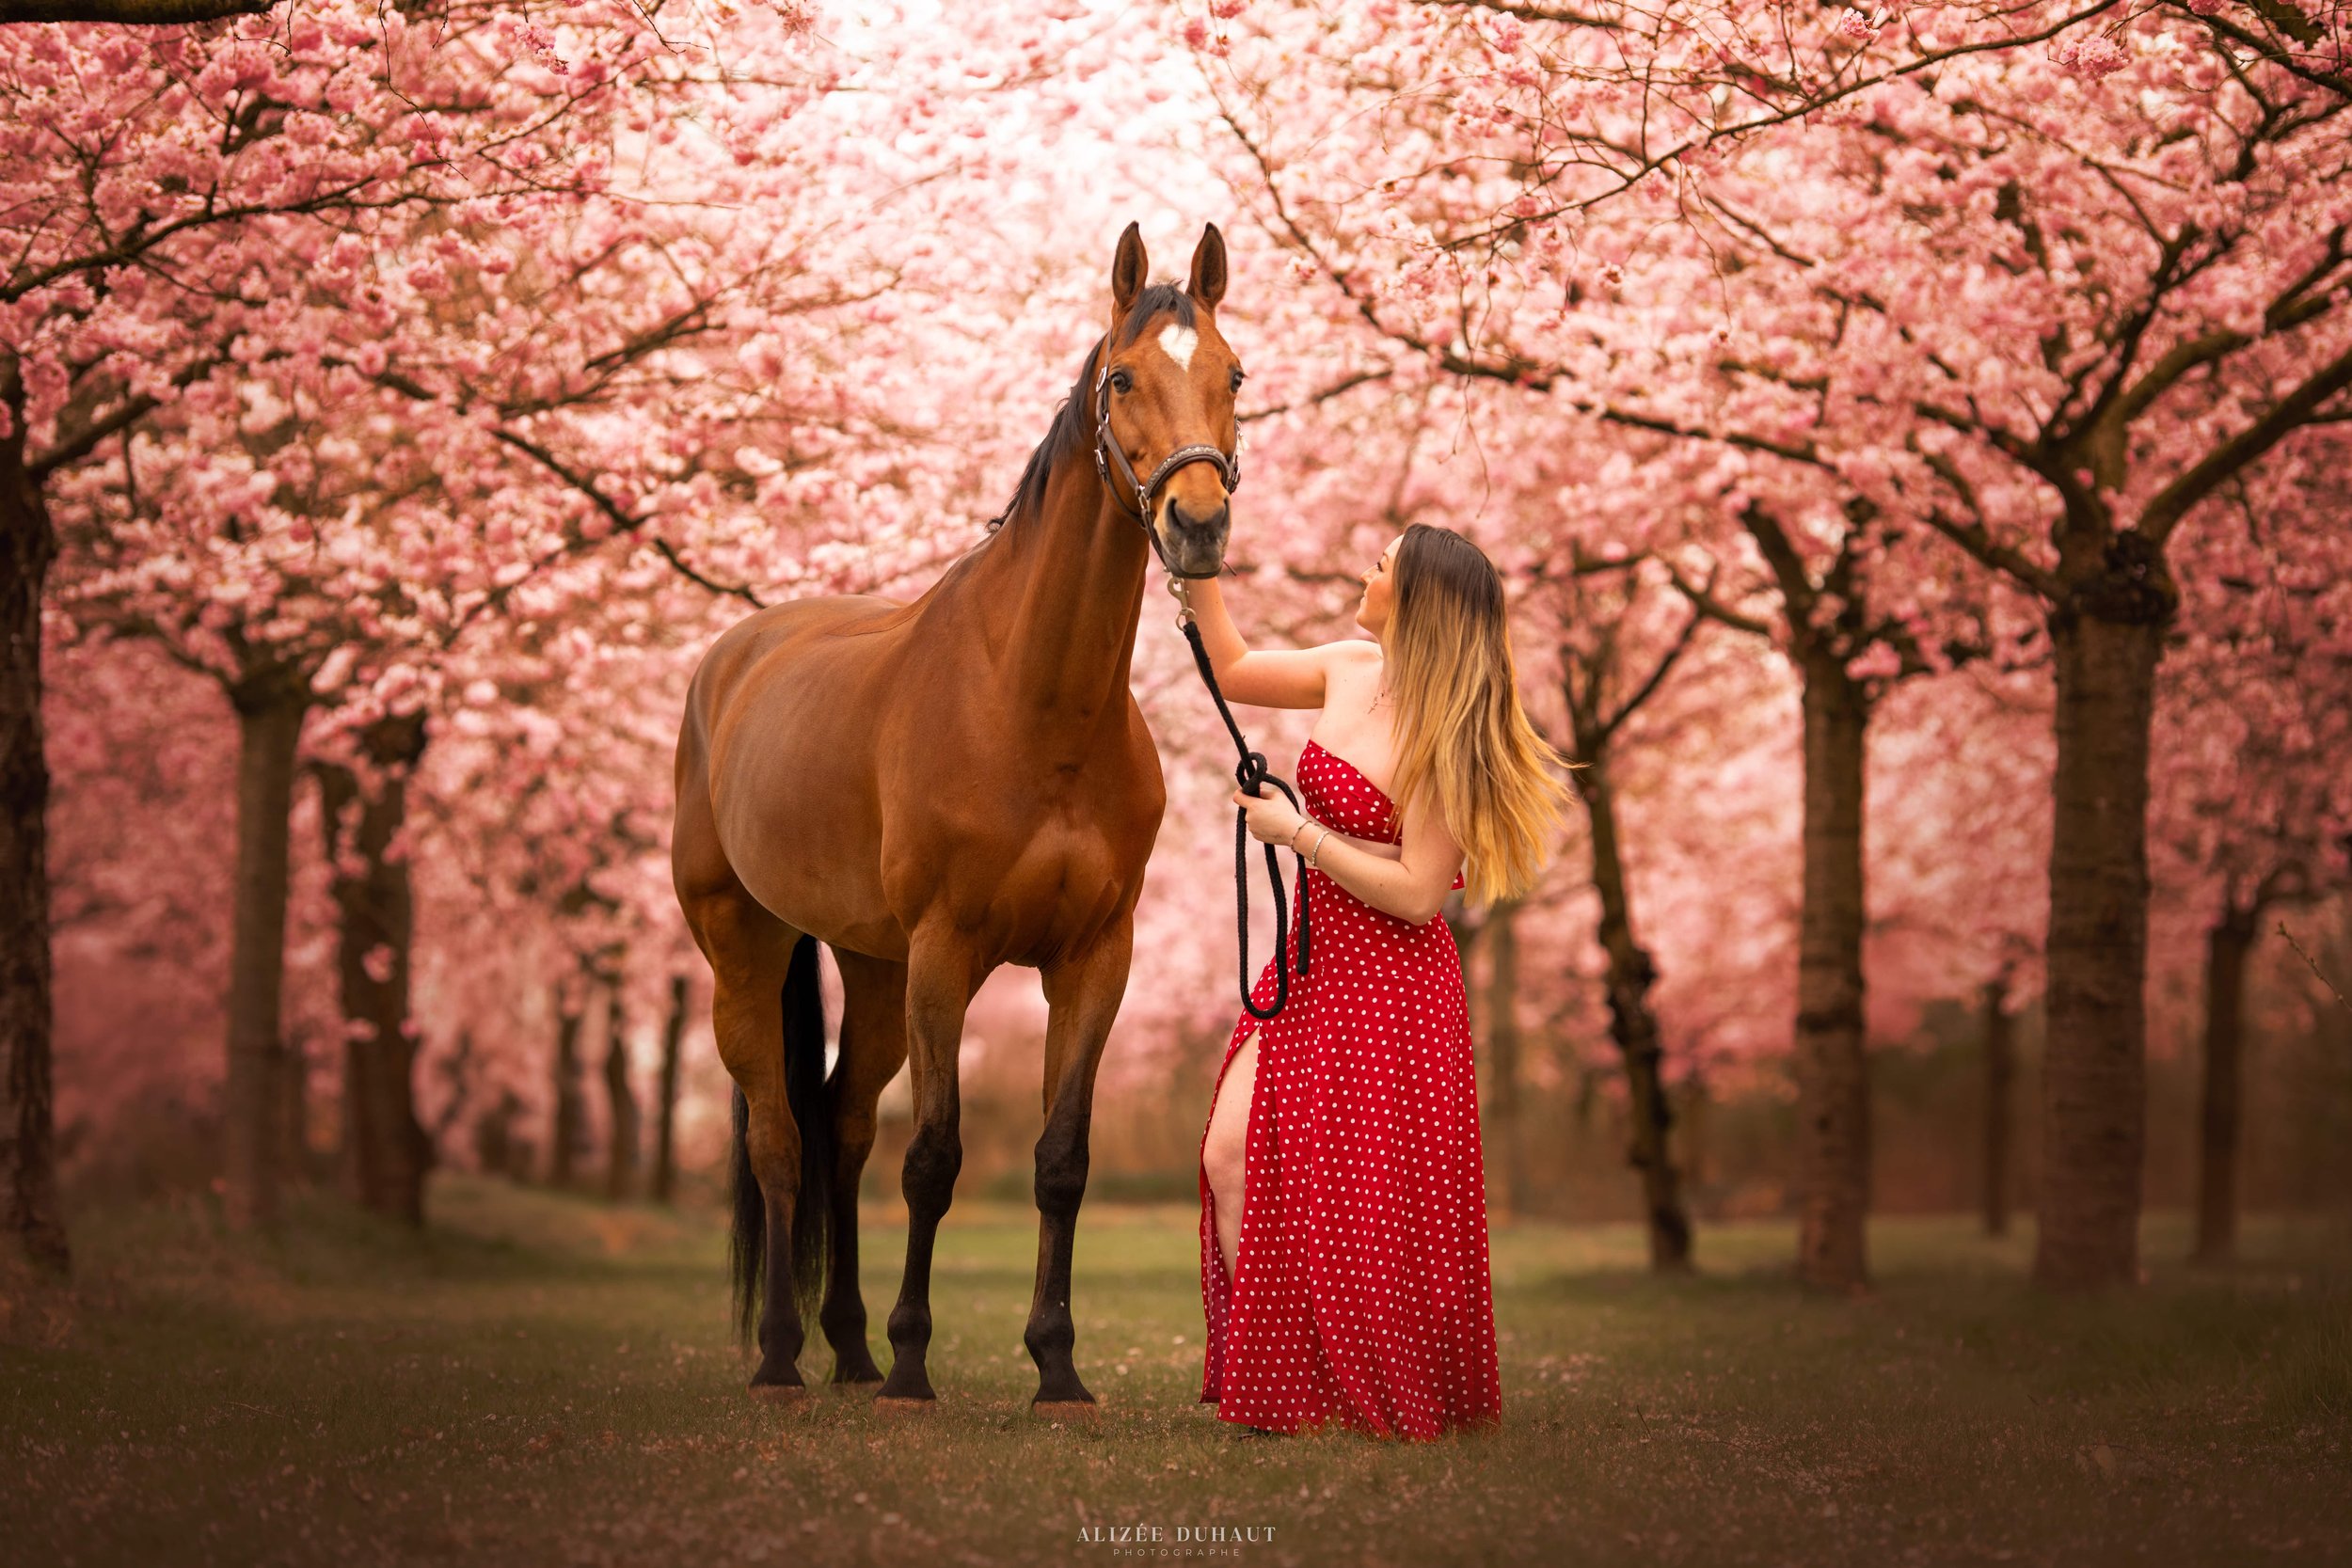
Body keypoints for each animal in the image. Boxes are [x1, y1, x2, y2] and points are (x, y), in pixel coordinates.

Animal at [671, 222, 1245, 1416]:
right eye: (1124, 377)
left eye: (1233, 375)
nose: (1198, 523)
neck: (1032, 700)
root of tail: (731, 663)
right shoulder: (946, 950)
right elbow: (932, 1157)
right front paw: (914, 1361)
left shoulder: (1094, 957)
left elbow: (1061, 1160)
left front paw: (1057, 1366)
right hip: (747, 949)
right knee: (782, 1137)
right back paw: (788, 1354)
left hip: (872, 965)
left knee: (841, 1127)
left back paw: (846, 1347)